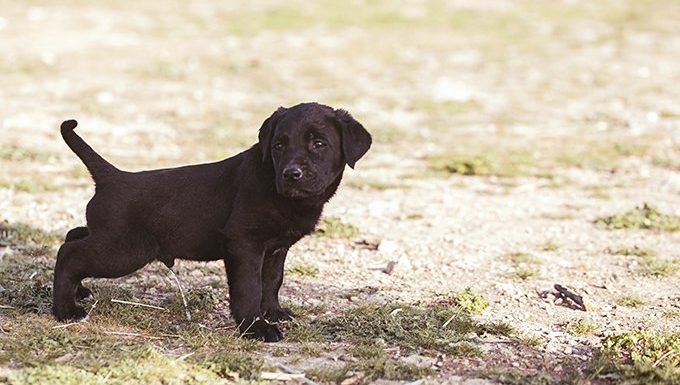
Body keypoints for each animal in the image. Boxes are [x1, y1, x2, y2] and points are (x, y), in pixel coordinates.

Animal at [53, 101, 372, 340]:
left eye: (319, 143)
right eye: (279, 146)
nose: (291, 174)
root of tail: (112, 177)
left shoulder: (276, 248)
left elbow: (272, 281)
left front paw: (273, 312)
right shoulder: (245, 243)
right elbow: (249, 288)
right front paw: (255, 327)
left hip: (111, 238)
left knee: (74, 235)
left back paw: (78, 291)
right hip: (125, 250)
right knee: (69, 252)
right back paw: (65, 310)